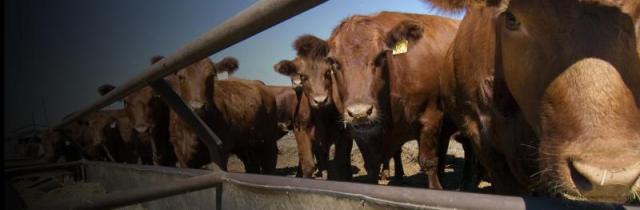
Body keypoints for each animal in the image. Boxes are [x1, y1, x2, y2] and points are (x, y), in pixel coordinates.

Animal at [272, 34, 352, 180]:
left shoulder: (343, 133)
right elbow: (308, 165)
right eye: (303, 76)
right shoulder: (301, 131)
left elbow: (339, 163)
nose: (320, 100)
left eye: (327, 72)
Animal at [324, 11, 460, 187]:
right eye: (333, 61)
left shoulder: (431, 117)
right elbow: (372, 166)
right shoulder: (359, 132)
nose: (360, 113)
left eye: (381, 55)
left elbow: (428, 161)